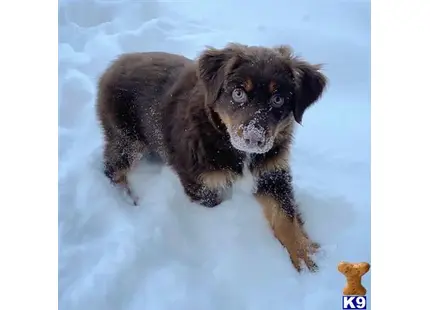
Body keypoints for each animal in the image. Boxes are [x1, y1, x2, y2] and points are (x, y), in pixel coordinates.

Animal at [95, 43, 328, 272]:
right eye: (238, 93)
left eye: (278, 99)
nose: (254, 139)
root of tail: (114, 63)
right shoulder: (201, 183)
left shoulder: (272, 173)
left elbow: (285, 214)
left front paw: (303, 252)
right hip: (127, 138)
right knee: (112, 167)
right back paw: (127, 198)